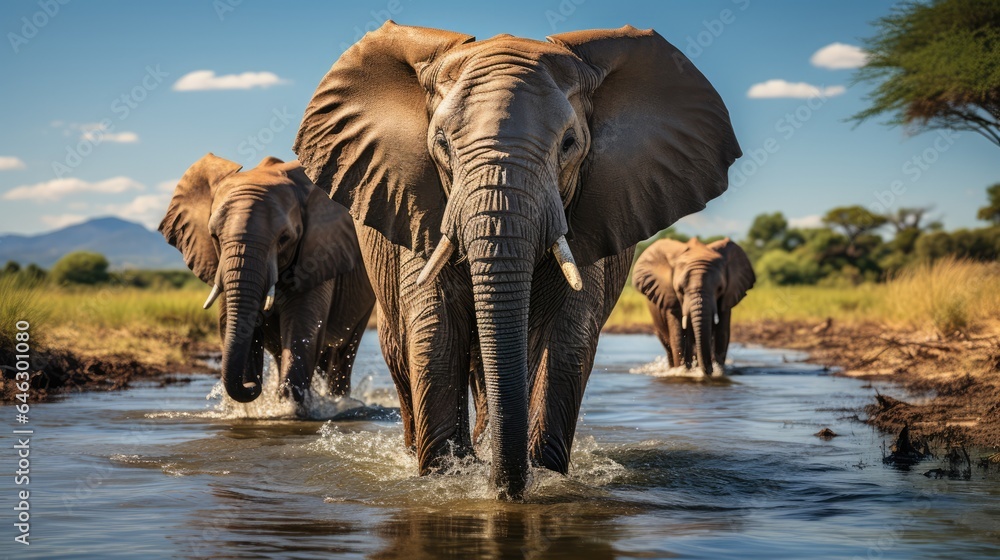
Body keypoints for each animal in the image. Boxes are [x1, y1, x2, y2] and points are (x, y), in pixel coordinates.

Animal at [159, 154, 375, 406]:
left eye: (284, 238)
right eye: (214, 236)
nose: (252, 386)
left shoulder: (318, 254)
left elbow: (302, 327)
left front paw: (288, 407)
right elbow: (231, 323)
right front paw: (260, 405)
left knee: (342, 353)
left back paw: (337, 401)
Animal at [294, 22, 740, 499]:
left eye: (569, 144)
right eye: (441, 143)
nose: (502, 489)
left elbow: (565, 336)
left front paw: (537, 478)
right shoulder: (417, 206)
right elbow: (435, 329)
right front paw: (447, 479)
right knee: (405, 358)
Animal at [632, 237, 755, 376]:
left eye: (720, 289)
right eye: (680, 290)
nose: (708, 371)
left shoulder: (727, 298)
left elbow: (722, 334)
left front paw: (717, 371)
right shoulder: (671, 298)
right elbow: (678, 336)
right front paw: (684, 371)